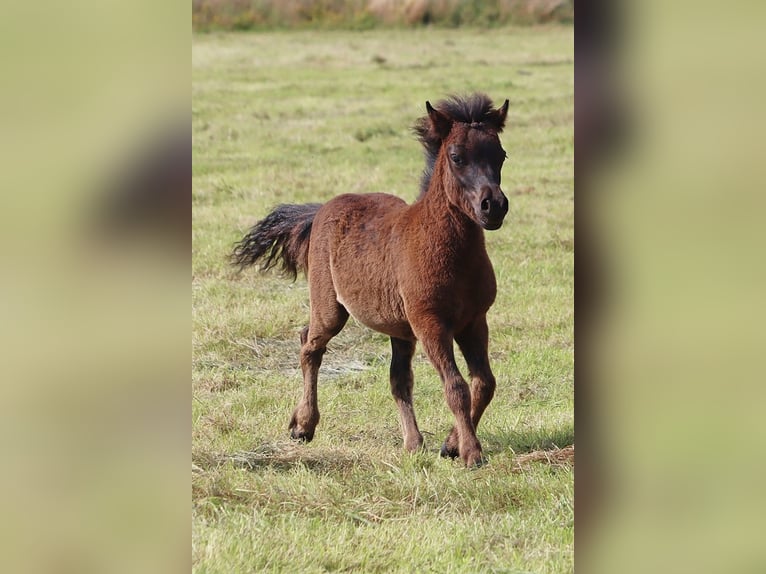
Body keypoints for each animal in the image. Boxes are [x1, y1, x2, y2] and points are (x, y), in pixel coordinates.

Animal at [232, 92, 510, 466]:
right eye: (456, 157)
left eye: (501, 155)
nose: (493, 206)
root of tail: (324, 207)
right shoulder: (431, 323)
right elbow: (456, 387)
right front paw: (471, 453)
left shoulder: (474, 321)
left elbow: (484, 383)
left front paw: (450, 445)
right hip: (330, 307)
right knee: (310, 345)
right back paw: (303, 426)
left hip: (399, 328)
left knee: (398, 378)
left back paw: (412, 442)